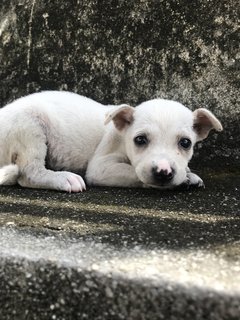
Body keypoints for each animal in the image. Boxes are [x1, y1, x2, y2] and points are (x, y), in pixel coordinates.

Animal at [0, 90, 222, 192]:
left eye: (185, 143)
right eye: (140, 140)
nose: (163, 172)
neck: (121, 135)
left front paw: (189, 175)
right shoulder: (100, 167)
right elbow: (133, 172)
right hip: (30, 128)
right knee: (29, 173)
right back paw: (63, 178)